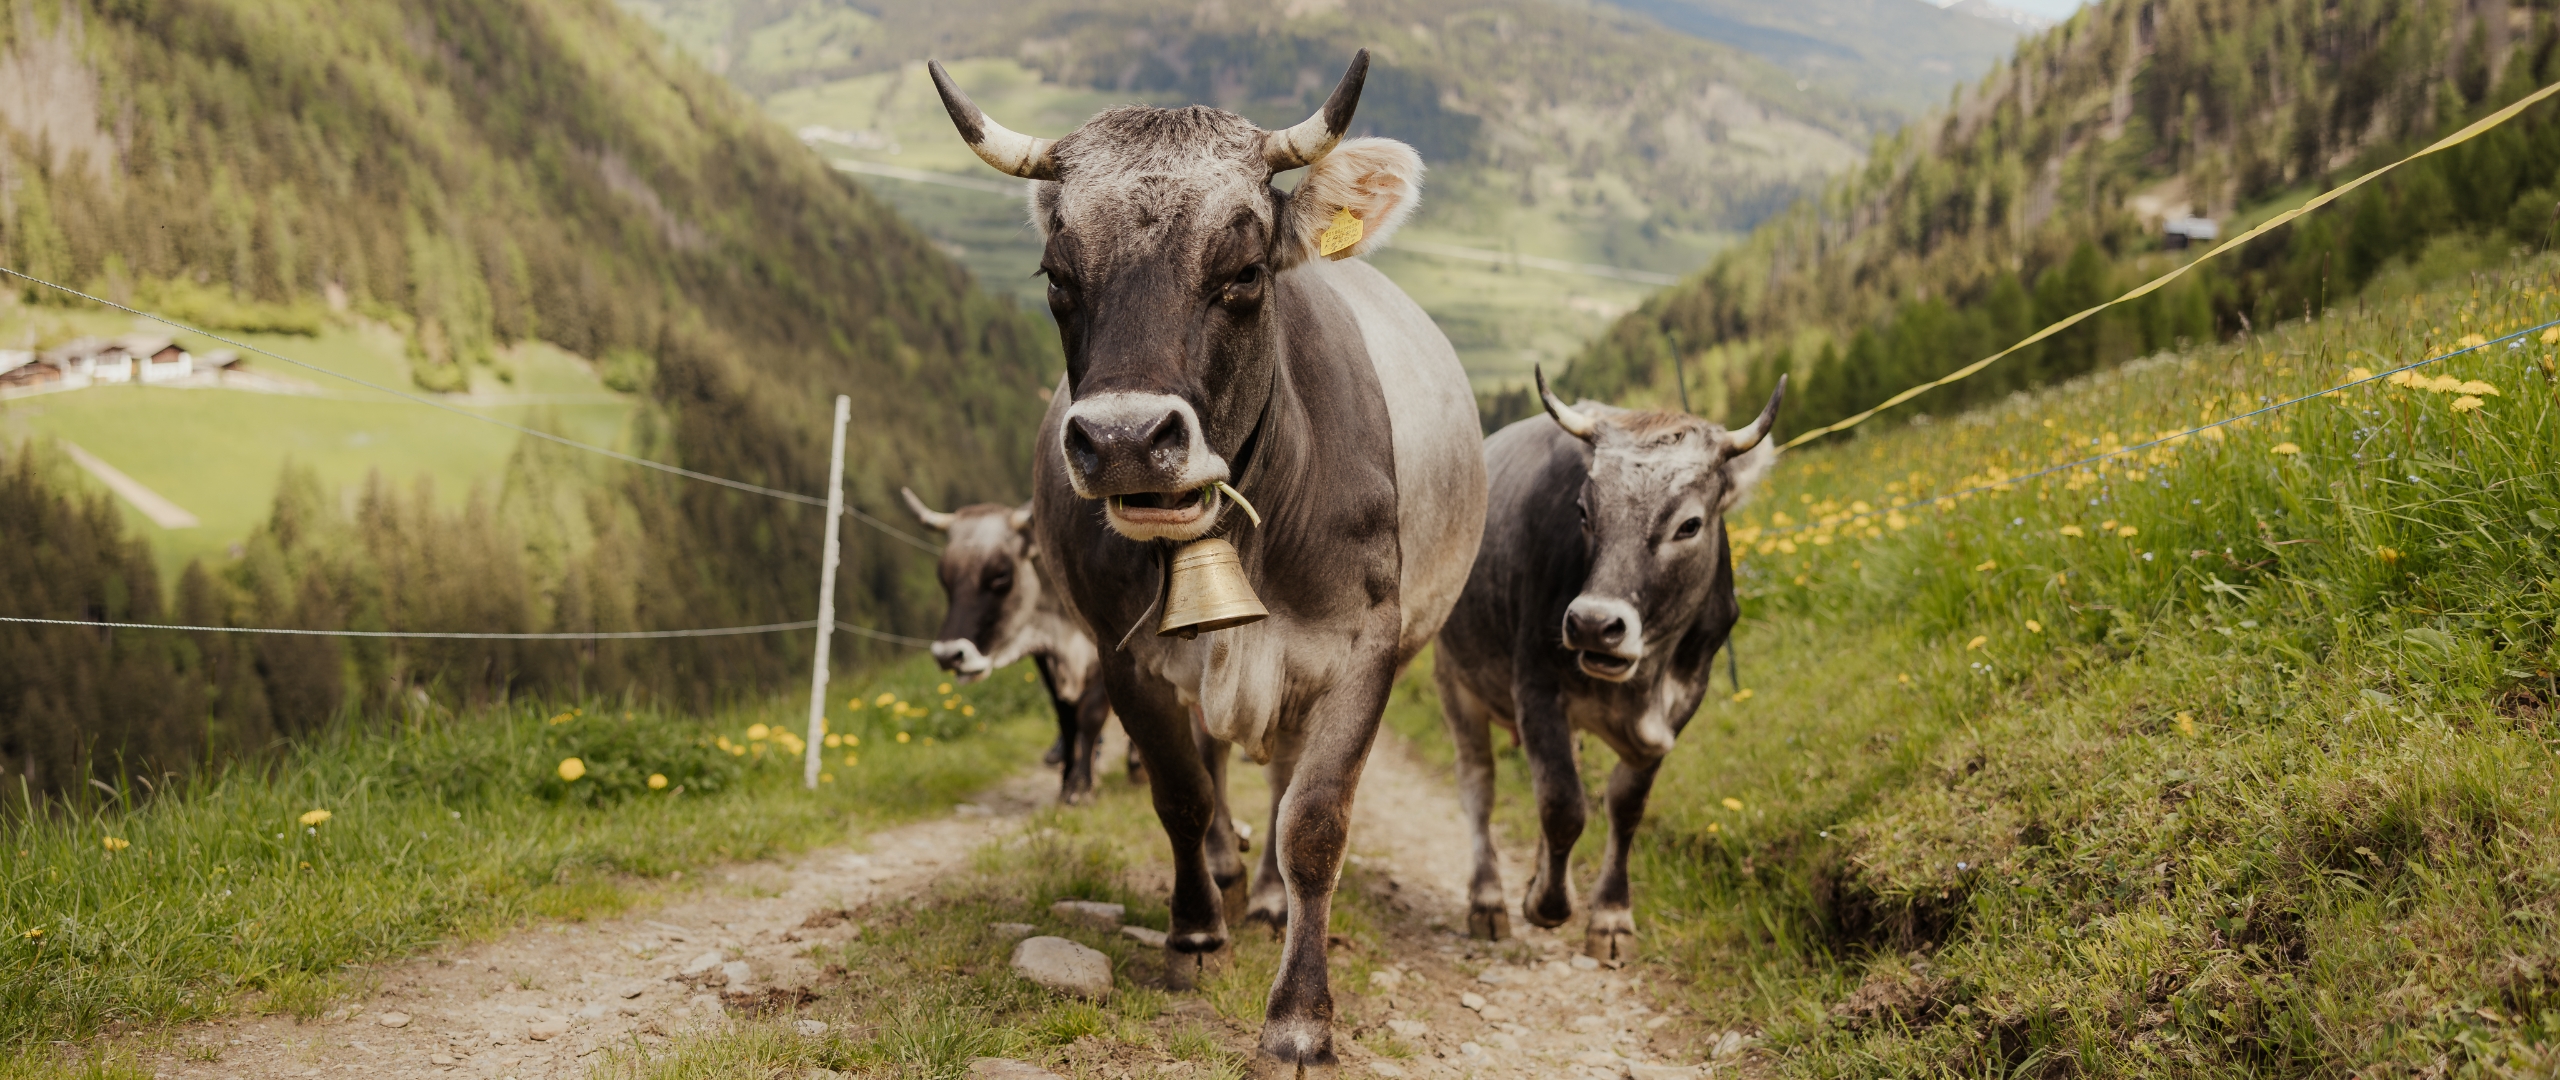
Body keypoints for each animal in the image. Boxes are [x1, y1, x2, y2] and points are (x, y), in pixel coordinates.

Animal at [900, 489, 1133, 803]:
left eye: (1000, 574)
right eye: (943, 576)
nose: (948, 656)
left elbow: (1090, 715)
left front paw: (1080, 786)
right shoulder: (1046, 658)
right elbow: (1066, 717)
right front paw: (1066, 779)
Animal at [929, 50, 1488, 1077]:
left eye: (1245, 272)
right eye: (1057, 275)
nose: (1122, 441)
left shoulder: (1363, 648)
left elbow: (1314, 820)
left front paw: (1301, 1016)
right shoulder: (1122, 652)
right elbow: (1182, 791)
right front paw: (1193, 931)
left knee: (1279, 779)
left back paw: (1263, 892)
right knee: (1223, 762)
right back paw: (1231, 875)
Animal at [1430, 368, 1783, 967]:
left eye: (1689, 525)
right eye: (1583, 513)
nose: (1595, 624)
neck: (1643, 679)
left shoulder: (1677, 709)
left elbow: (1625, 807)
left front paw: (1611, 915)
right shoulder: (1535, 689)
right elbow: (1563, 804)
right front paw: (1547, 905)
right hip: (1455, 680)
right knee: (1478, 784)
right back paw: (1489, 900)